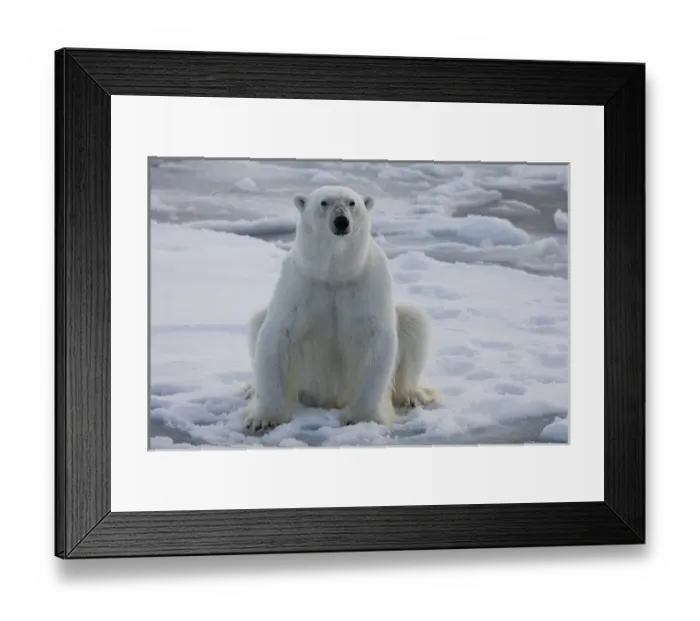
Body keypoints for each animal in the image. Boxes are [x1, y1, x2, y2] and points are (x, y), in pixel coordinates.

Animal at [242, 185, 436, 431]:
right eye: (324, 202)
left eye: (352, 203)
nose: (341, 221)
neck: (334, 274)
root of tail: (328, 401)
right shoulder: (301, 282)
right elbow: (277, 335)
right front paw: (263, 418)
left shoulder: (368, 283)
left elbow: (377, 339)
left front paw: (363, 417)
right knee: (257, 322)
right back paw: (250, 389)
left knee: (415, 320)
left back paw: (414, 395)